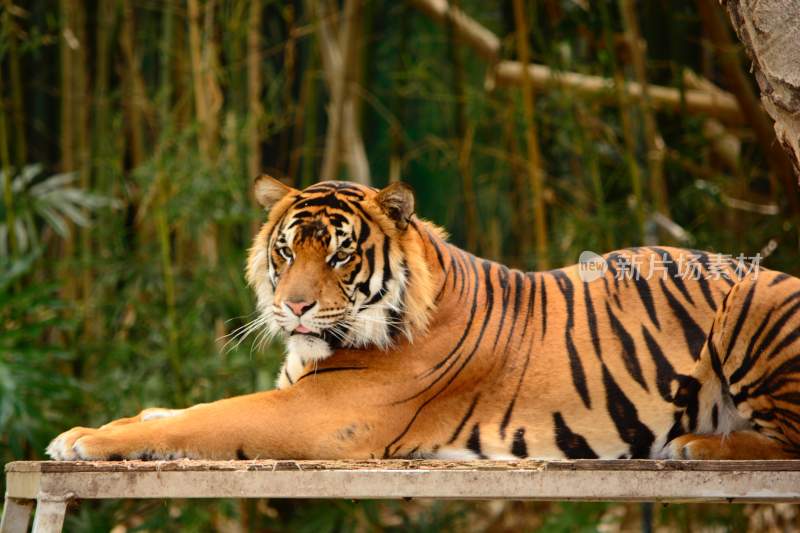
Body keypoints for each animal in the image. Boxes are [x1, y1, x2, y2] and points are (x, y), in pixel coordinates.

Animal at [47, 177, 800, 460]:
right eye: (287, 250)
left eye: (340, 253)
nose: (293, 305)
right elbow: (168, 411)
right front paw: (87, 429)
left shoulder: (320, 413)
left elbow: (201, 418)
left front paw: (84, 441)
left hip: (753, 304)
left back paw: (698, 445)